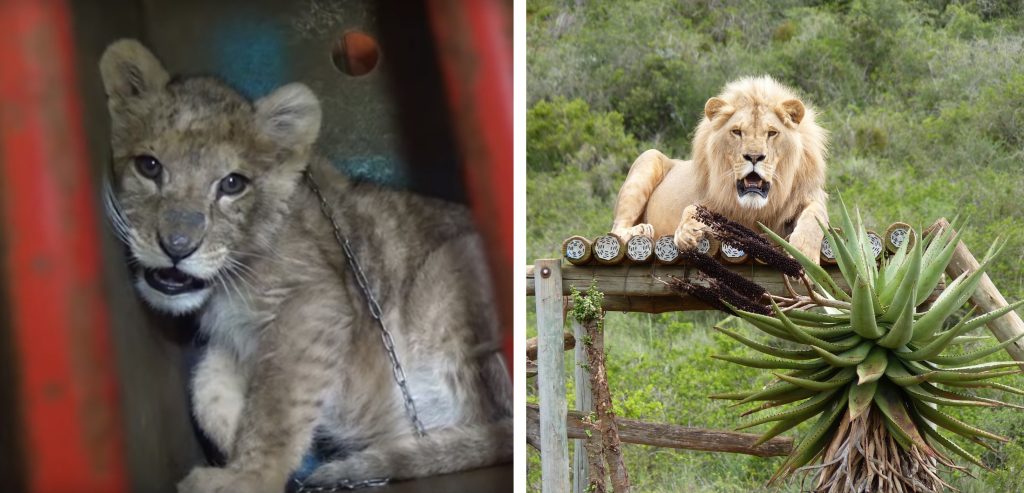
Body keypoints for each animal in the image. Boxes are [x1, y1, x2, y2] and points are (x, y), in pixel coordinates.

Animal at [610, 74, 827, 262]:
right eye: (737, 132)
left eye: (772, 133)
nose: (754, 157)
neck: (754, 208)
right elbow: (693, 208)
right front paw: (686, 231)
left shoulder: (810, 195)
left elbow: (815, 218)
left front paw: (804, 254)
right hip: (648, 157)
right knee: (616, 229)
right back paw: (641, 230)